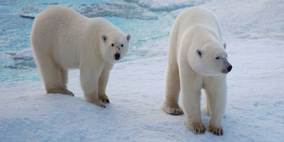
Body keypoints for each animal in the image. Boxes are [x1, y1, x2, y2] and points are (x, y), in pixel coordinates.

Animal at [163, 7, 232, 136]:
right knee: (173, 74)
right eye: (217, 57)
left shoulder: (215, 75)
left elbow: (217, 92)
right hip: (175, 38)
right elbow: (191, 92)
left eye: (226, 55)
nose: (229, 67)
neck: (202, 35)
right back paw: (173, 109)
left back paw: (209, 111)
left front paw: (216, 128)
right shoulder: (189, 65)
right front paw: (197, 127)